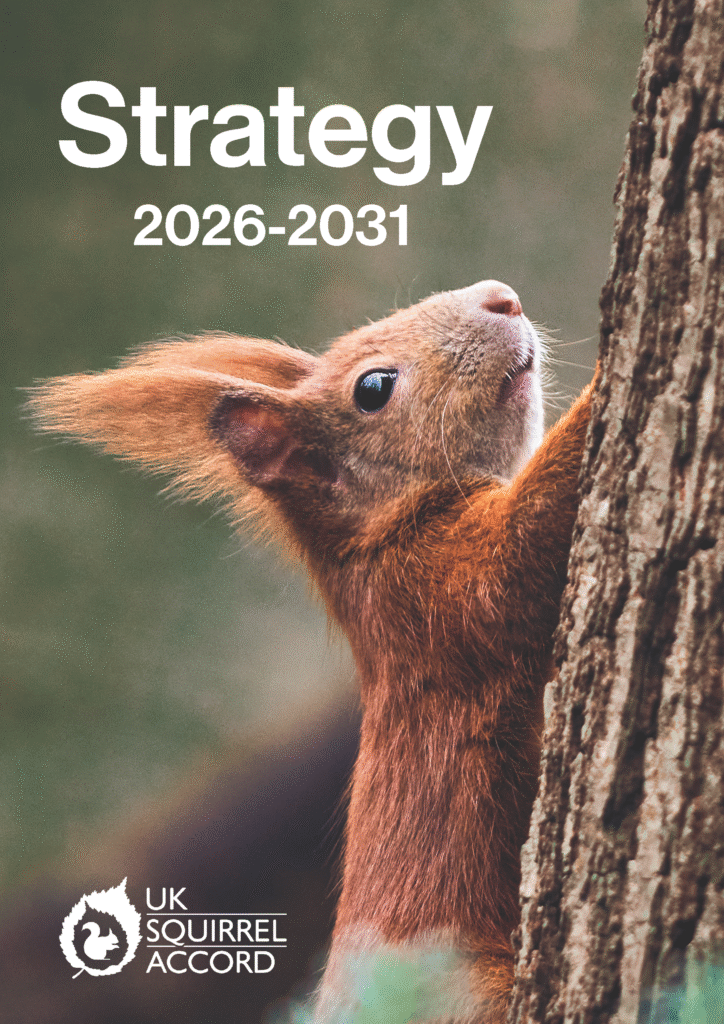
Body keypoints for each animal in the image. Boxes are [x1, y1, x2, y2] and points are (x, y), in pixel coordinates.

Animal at [28, 280, 595, 1023]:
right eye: (374, 387)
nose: (501, 297)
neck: (375, 540)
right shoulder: (435, 595)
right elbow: (521, 549)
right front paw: (602, 394)